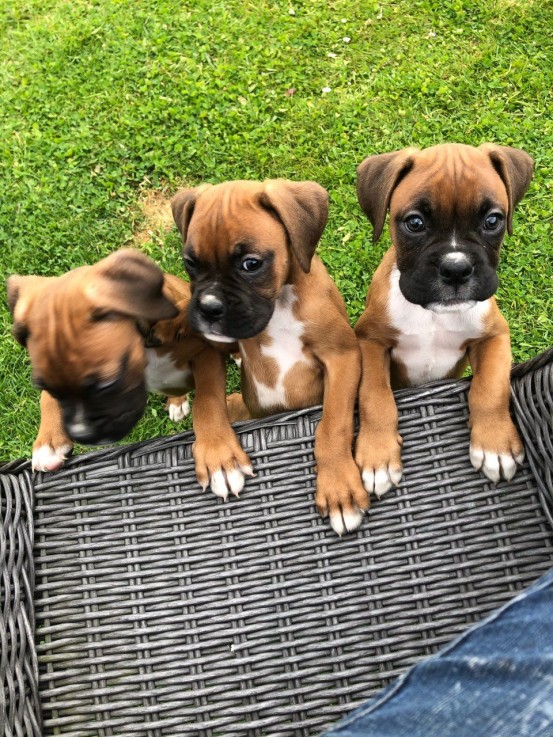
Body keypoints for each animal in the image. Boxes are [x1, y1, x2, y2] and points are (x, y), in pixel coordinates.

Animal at [7, 249, 250, 500]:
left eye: (108, 384)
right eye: (50, 387)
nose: (81, 435)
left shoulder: (205, 353)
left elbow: (207, 401)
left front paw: (218, 456)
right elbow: (46, 398)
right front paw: (48, 441)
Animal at [171, 178, 366, 536]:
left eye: (251, 264)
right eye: (191, 263)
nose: (208, 308)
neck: (279, 306)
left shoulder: (343, 356)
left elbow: (333, 424)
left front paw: (338, 488)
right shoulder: (210, 347)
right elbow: (208, 401)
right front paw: (218, 456)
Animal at [352, 142, 532, 500]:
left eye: (493, 220)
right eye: (415, 223)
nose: (456, 269)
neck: (432, 315)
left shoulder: (493, 337)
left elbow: (490, 387)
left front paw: (495, 445)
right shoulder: (370, 341)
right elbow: (374, 395)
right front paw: (378, 456)